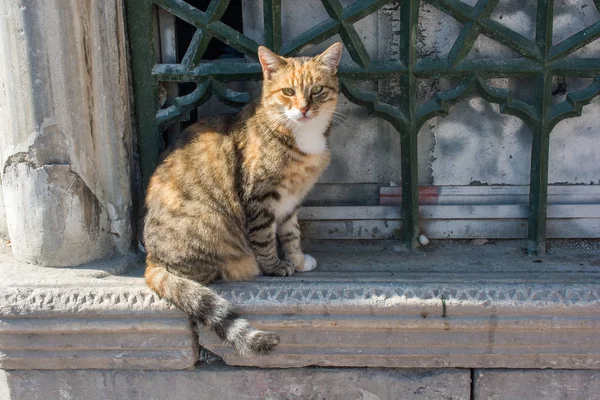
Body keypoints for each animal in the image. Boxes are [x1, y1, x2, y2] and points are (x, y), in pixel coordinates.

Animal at [141, 43, 344, 356]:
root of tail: (152, 260)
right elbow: (264, 237)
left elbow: (291, 233)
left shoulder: (291, 200)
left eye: (318, 89)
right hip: (208, 221)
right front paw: (275, 266)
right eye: (288, 91)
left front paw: (297, 259)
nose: (303, 109)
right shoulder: (259, 197)